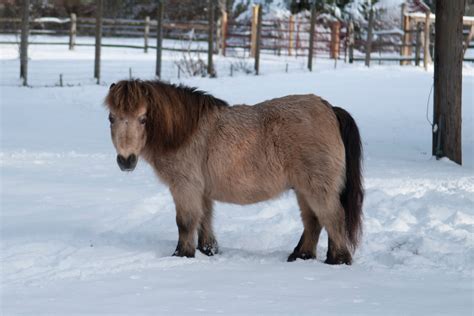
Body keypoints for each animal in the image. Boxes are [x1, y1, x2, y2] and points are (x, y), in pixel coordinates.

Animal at [104, 78, 362, 264]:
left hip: (317, 188)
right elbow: (205, 220)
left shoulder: (184, 186)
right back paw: (301, 256)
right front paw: (208, 250)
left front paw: (182, 255)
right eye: (111, 117)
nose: (126, 160)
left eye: (143, 118)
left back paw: (337, 260)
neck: (184, 132)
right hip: (303, 189)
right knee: (313, 222)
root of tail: (329, 109)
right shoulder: (202, 191)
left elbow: (185, 222)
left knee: (332, 218)